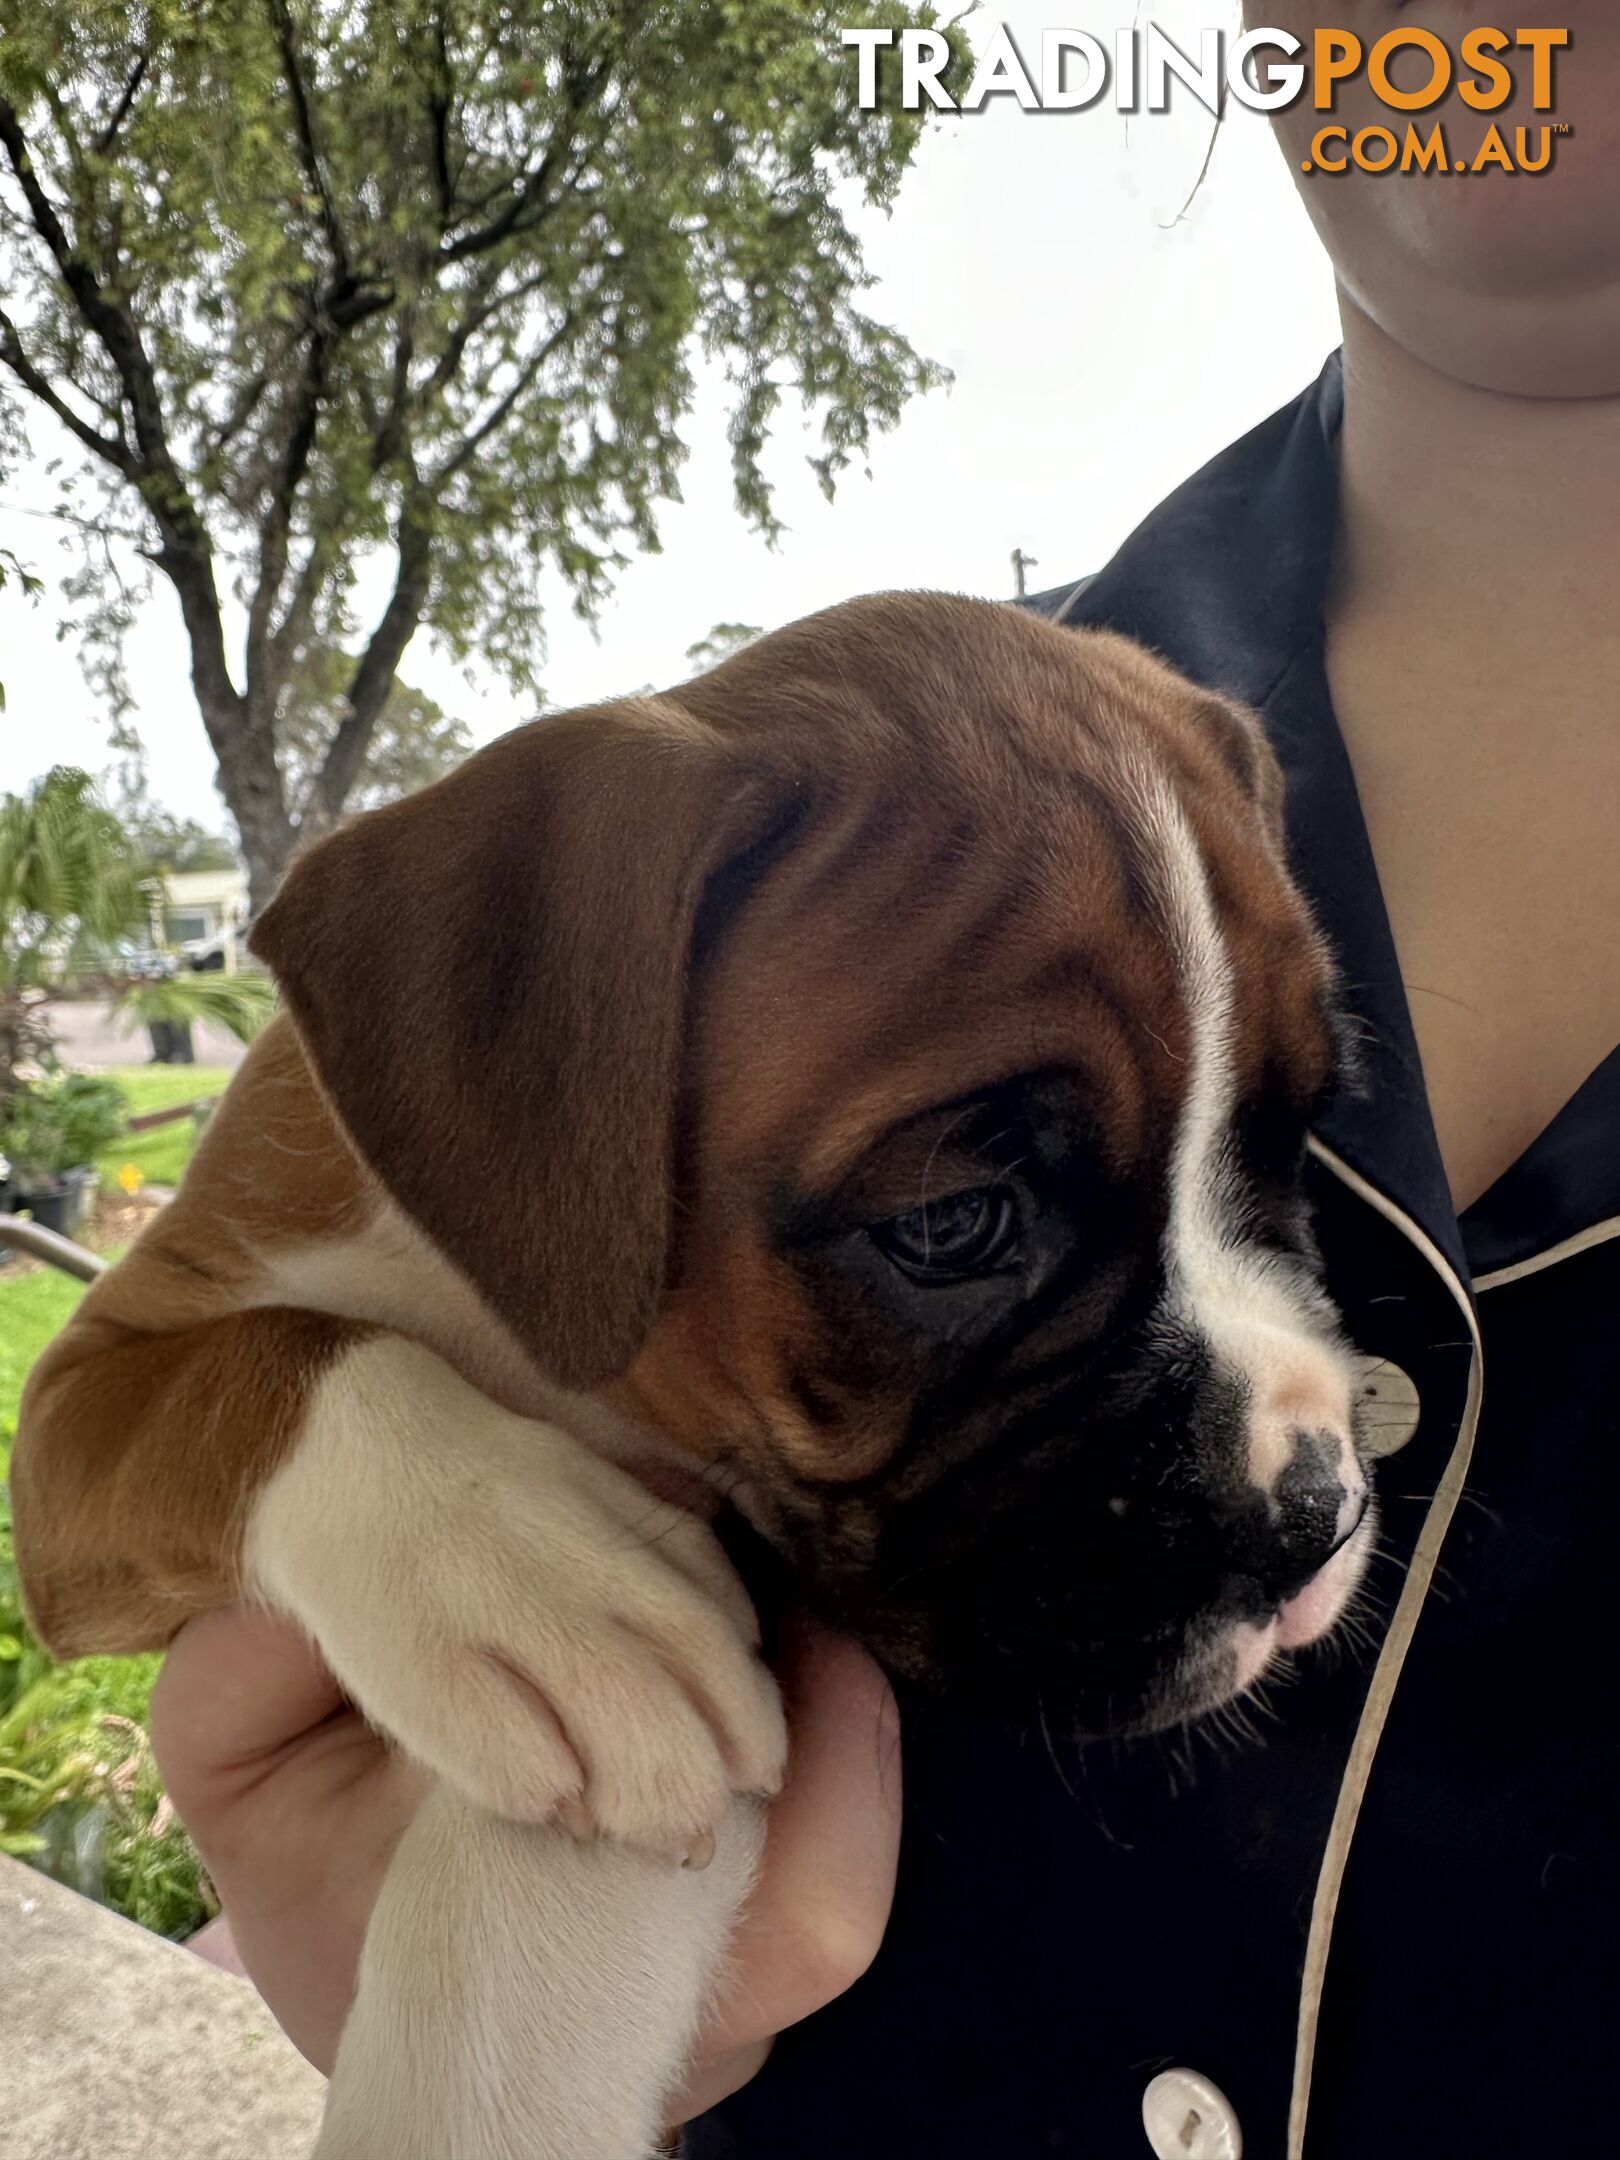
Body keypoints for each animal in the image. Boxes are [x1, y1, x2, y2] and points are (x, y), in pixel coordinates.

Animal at [15, 596, 1382, 2160]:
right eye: (951, 1225)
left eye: (1297, 1135)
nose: (1315, 1515)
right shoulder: (80, 1401)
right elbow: (256, 1373)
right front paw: (524, 1576)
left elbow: (528, 1934)